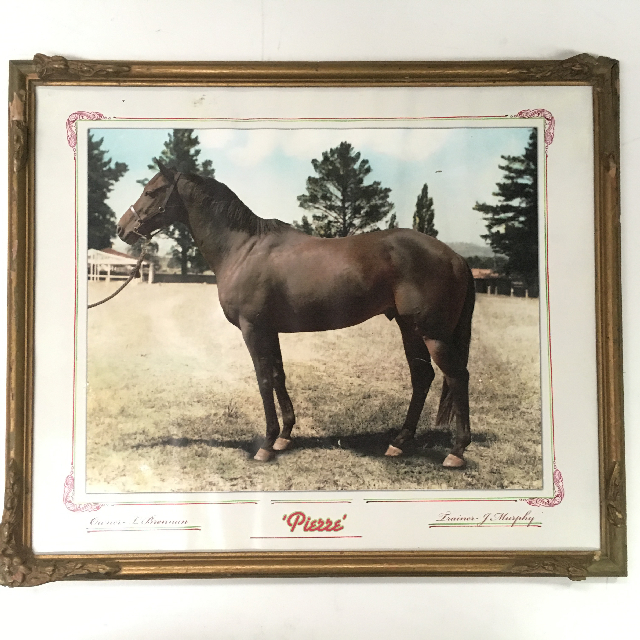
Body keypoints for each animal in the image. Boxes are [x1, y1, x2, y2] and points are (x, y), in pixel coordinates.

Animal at [117, 160, 475, 468]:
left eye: (151, 192)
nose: (122, 229)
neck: (243, 248)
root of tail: (455, 257)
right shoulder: (270, 330)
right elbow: (278, 376)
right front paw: (285, 436)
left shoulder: (253, 329)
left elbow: (263, 380)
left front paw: (266, 444)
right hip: (409, 328)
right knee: (422, 377)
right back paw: (399, 443)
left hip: (432, 334)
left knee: (457, 377)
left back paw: (456, 452)